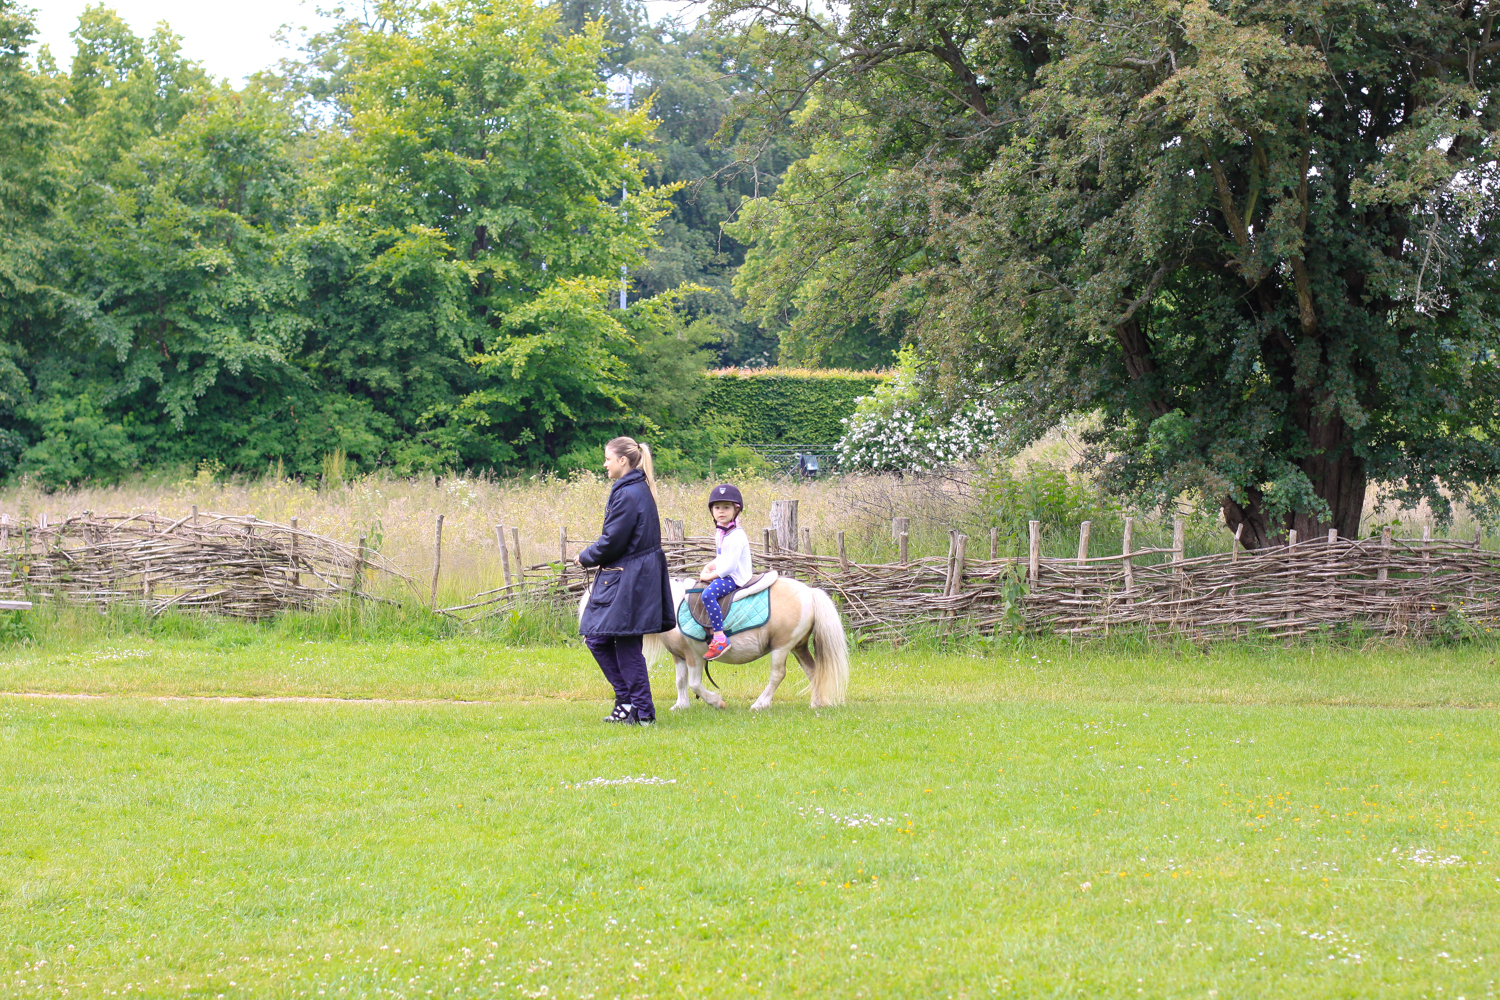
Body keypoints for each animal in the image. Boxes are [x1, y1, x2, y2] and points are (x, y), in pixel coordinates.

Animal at [579, 569, 852, 710]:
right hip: (798, 647)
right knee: (814, 670)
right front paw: (681, 706)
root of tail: (810, 592)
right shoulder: (679, 656)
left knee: (777, 675)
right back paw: (817, 702)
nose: (589, 634)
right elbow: (680, 682)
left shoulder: (694, 656)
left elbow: (695, 684)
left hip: (782, 647)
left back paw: (760, 703)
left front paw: (716, 702)